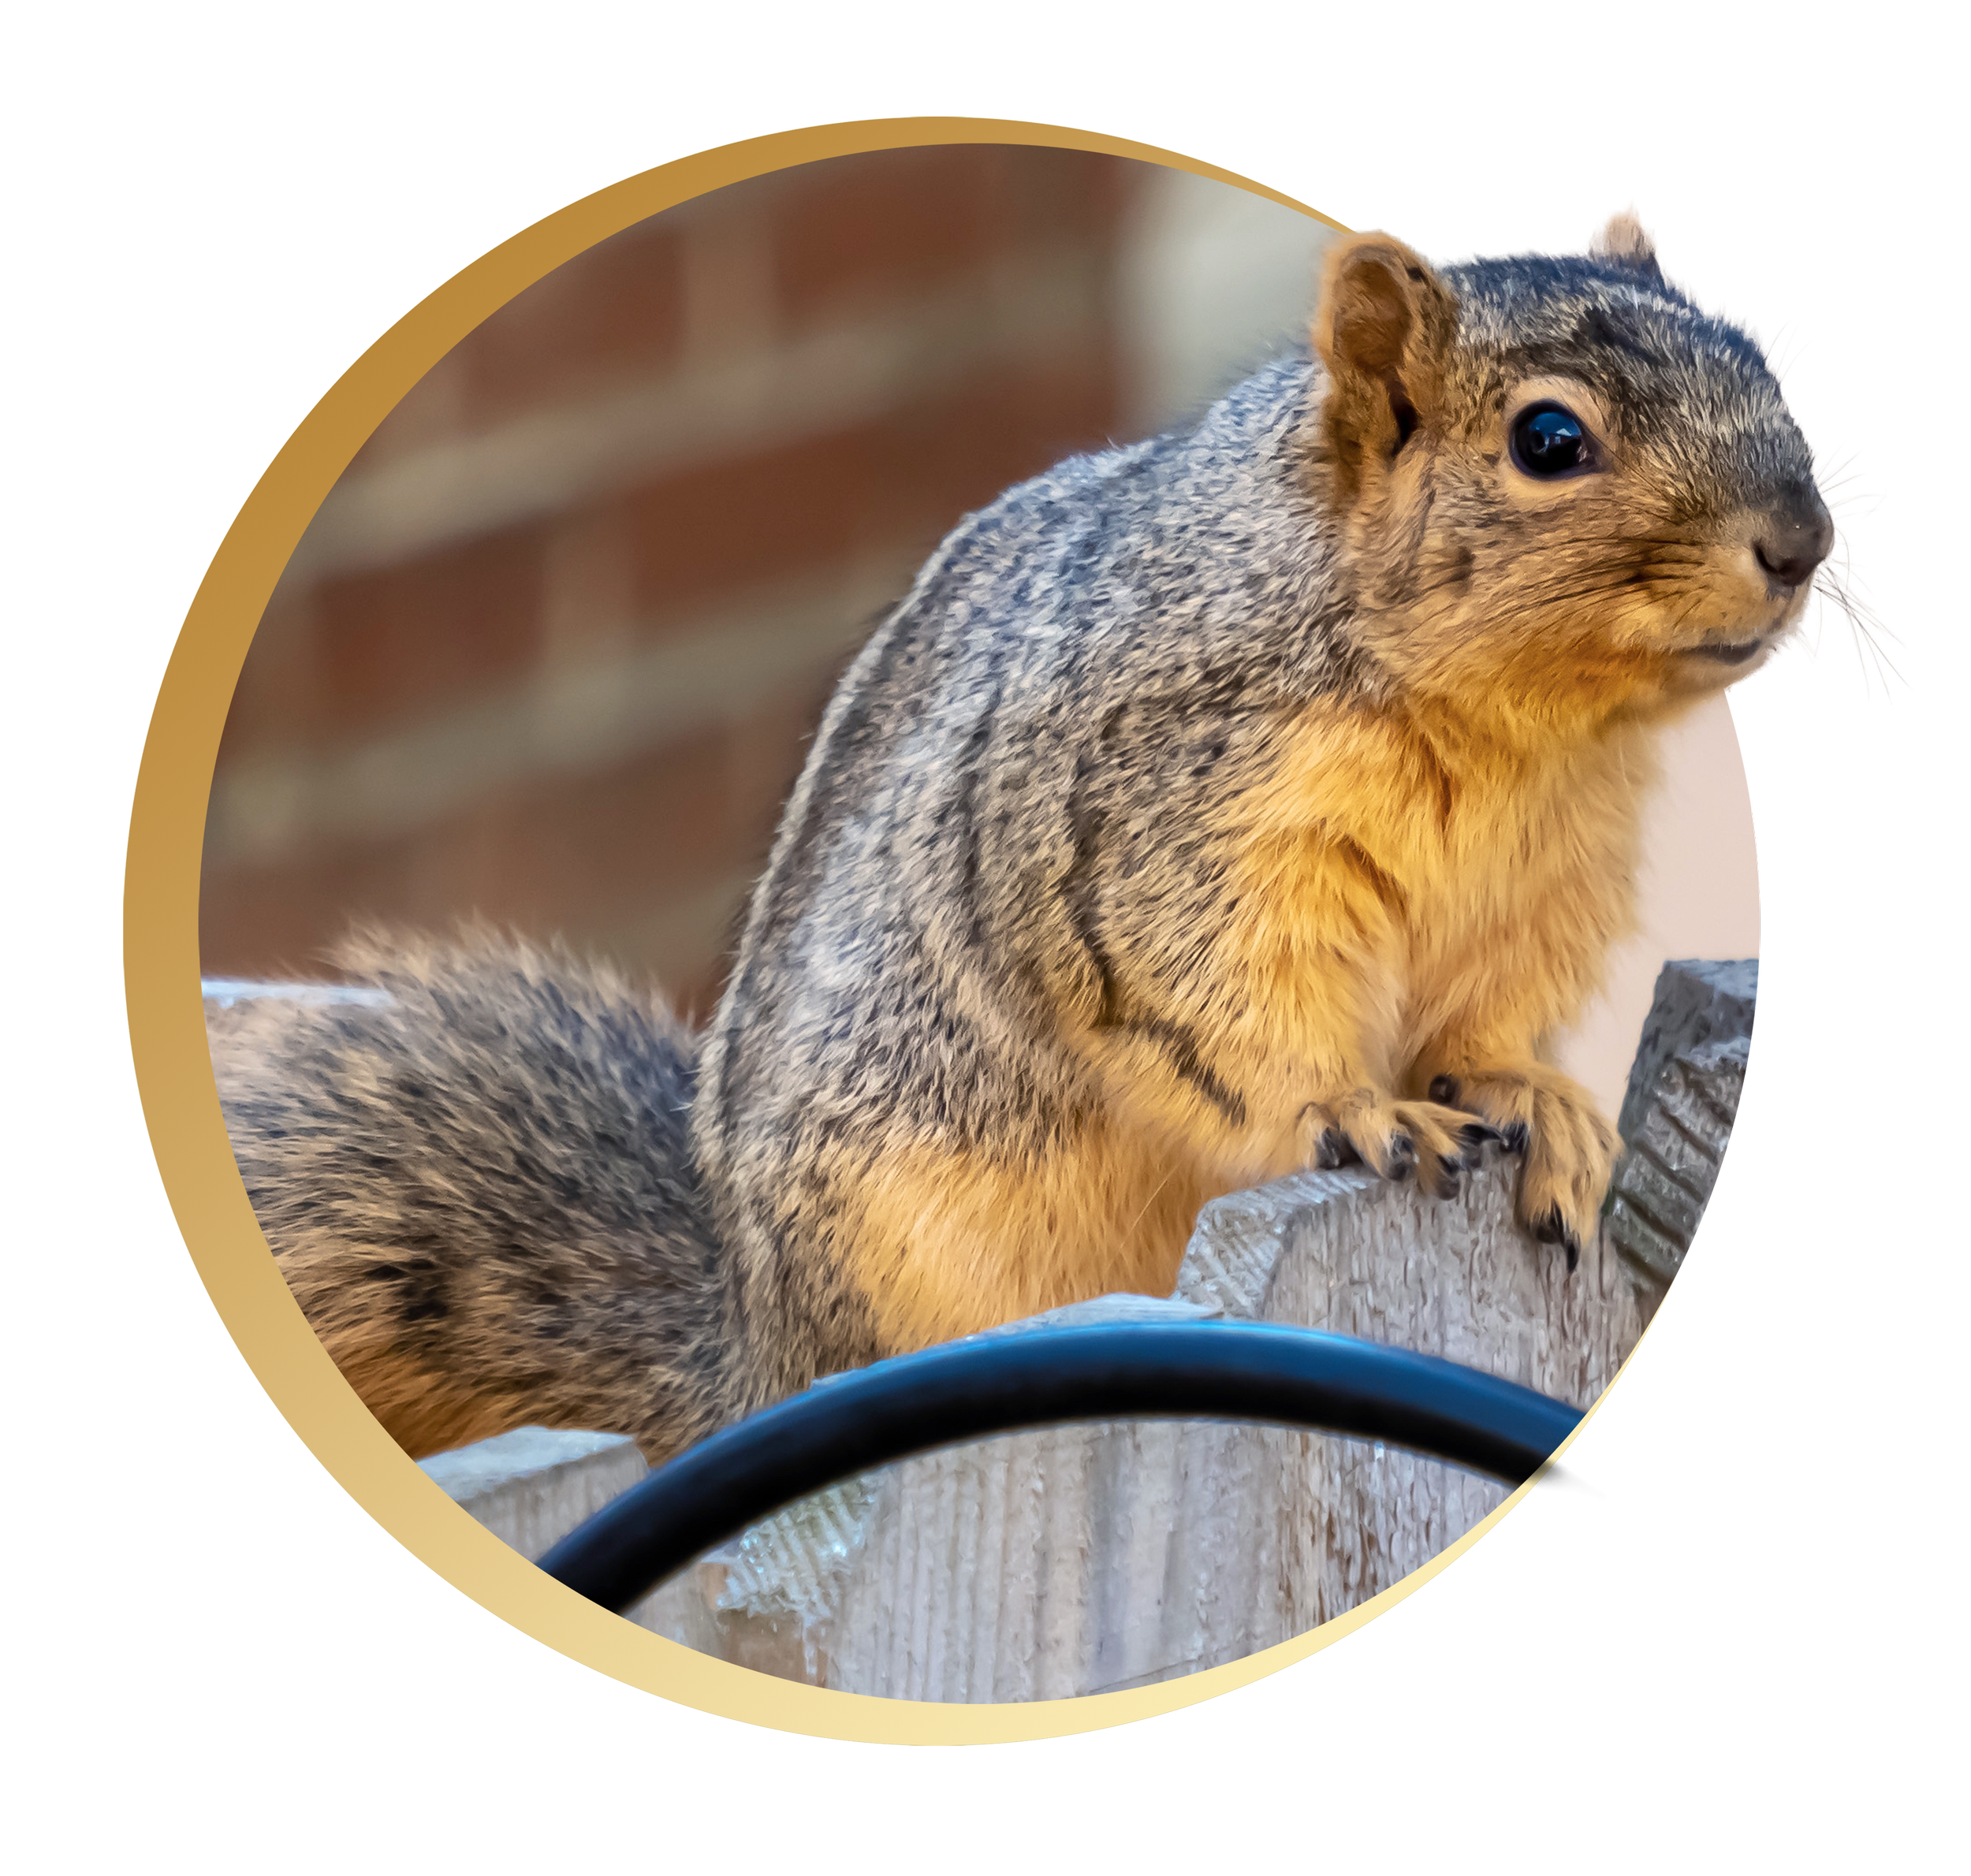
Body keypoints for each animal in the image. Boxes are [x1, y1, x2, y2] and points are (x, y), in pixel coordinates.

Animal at [206, 202, 1833, 1468]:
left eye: (1758, 361)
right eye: (1550, 439)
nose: (1803, 540)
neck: (1520, 734)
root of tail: (757, 1353)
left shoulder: (1544, 888)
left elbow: (1490, 1016)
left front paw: (1533, 1101)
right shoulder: (1168, 824)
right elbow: (1222, 1004)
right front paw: (1352, 1110)